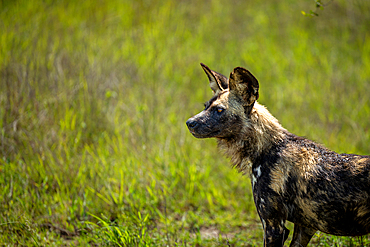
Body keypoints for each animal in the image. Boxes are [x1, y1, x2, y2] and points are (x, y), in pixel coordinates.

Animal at [186, 63, 370, 245]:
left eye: (219, 110)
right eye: (205, 106)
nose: (189, 123)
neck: (267, 148)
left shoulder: (274, 227)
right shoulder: (305, 227)